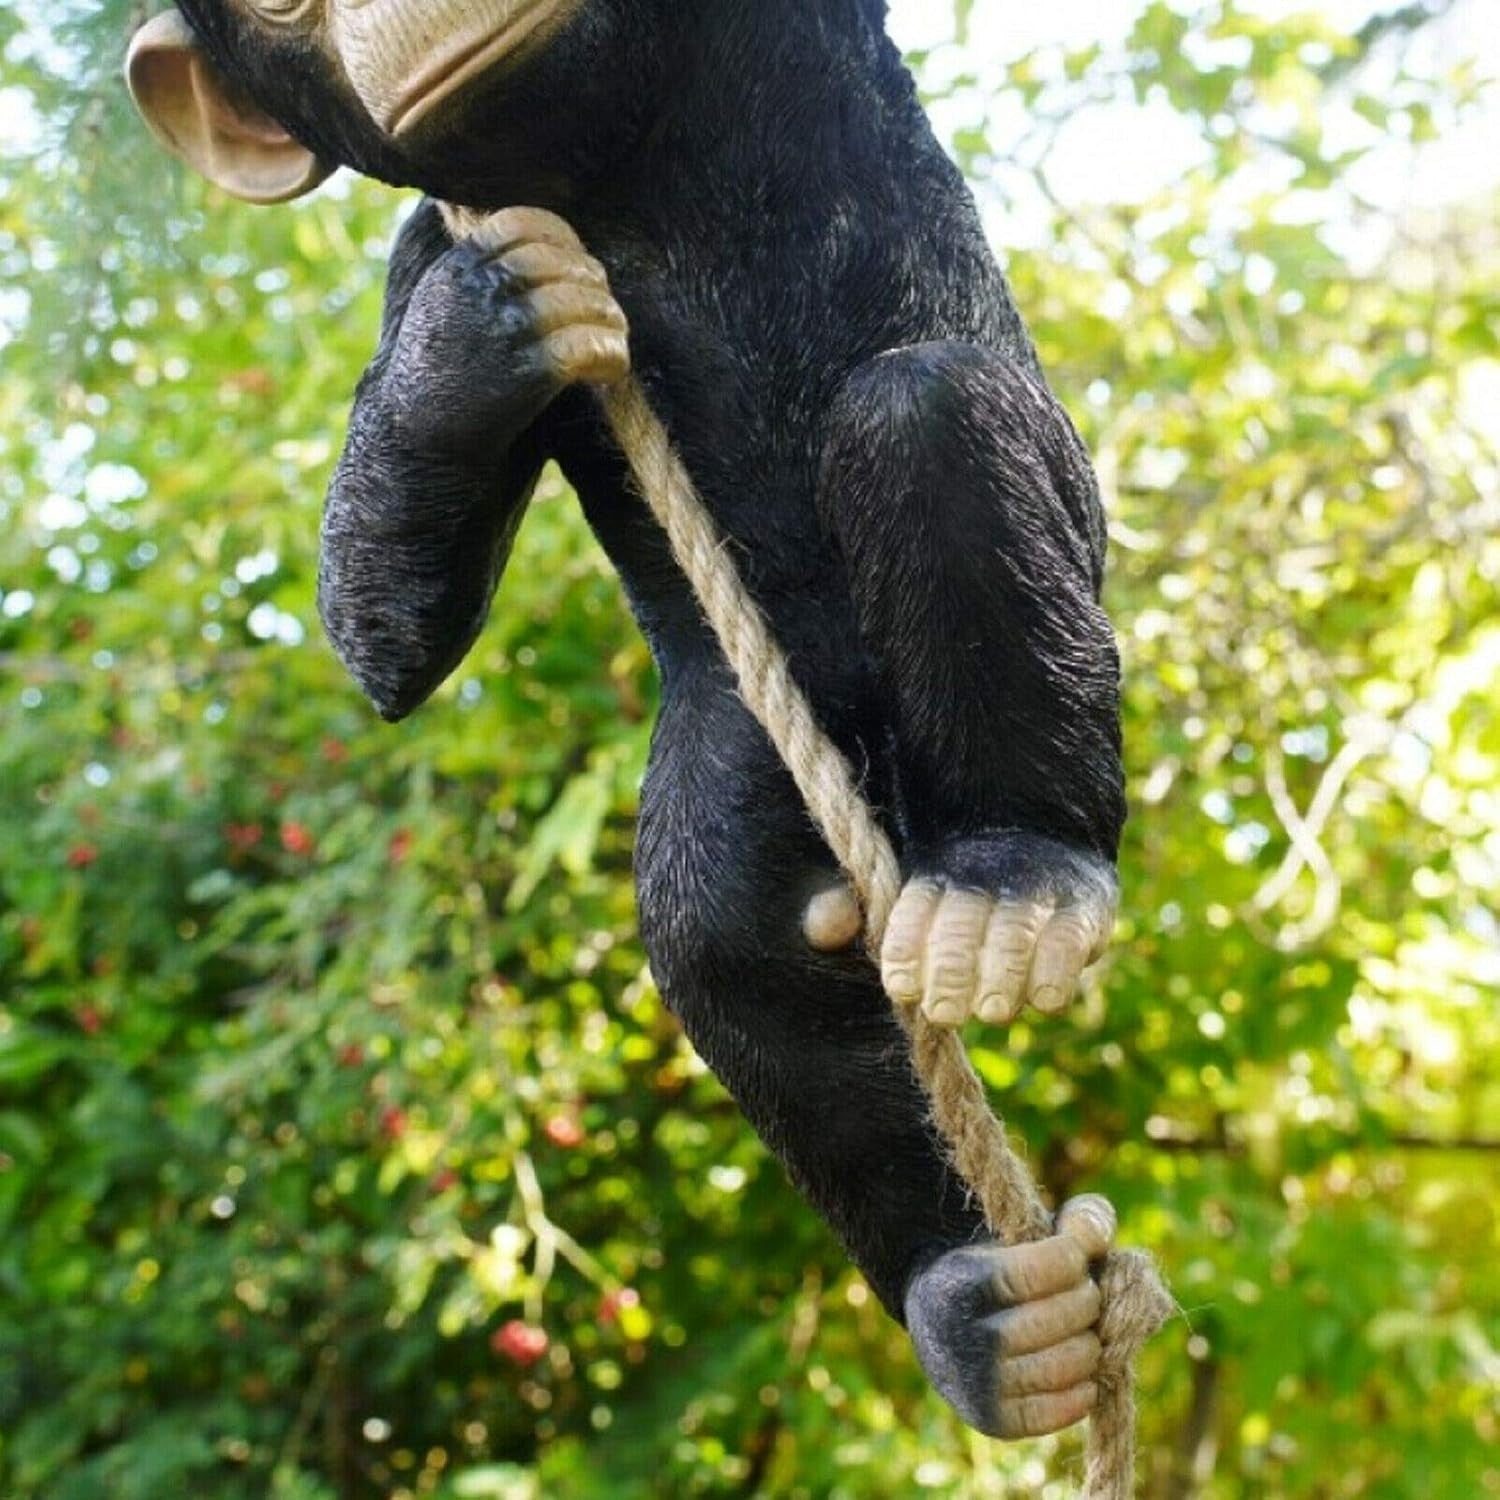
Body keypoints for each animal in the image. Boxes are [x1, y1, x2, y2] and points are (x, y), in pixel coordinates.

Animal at [128, 0, 1128, 1441]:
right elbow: (384, 643)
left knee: (929, 407)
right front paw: (476, 338)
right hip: (741, 740)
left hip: (1068, 586)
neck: (618, 153)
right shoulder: (431, 246)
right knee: (730, 957)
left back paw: (1019, 878)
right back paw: (982, 1314)